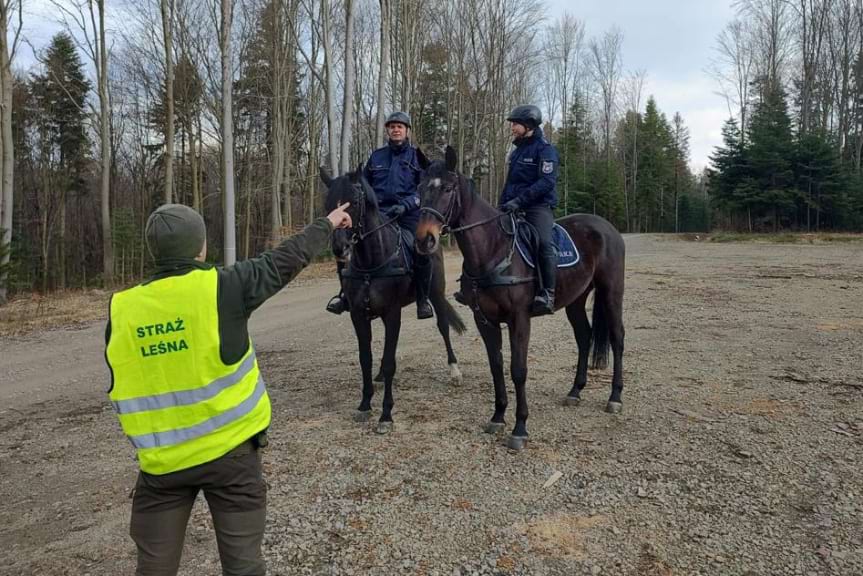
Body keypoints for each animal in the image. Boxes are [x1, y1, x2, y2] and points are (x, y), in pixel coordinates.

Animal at [320, 164, 466, 434]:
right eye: (327, 204)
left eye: (354, 201)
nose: (340, 248)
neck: (371, 262)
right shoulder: (359, 315)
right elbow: (365, 358)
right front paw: (365, 404)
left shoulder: (392, 313)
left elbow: (389, 362)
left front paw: (385, 415)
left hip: (436, 295)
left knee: (443, 328)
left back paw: (454, 371)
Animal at [416, 145, 624, 450]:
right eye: (419, 188)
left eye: (448, 188)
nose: (424, 240)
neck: (493, 250)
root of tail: (606, 226)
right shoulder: (484, 320)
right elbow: (496, 366)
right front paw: (498, 417)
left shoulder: (520, 319)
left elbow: (518, 369)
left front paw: (520, 427)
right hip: (575, 300)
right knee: (584, 337)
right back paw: (575, 391)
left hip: (611, 292)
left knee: (617, 337)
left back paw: (615, 397)